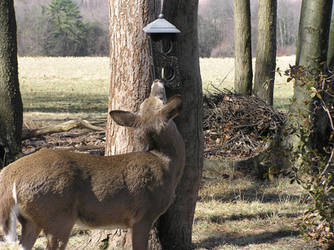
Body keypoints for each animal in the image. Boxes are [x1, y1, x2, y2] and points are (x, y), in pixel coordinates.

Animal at [0, 80, 185, 250]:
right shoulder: (143, 215)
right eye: (159, 99)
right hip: (57, 214)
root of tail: (10, 176)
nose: (157, 81)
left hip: (31, 220)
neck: (166, 164)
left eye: (150, 100)